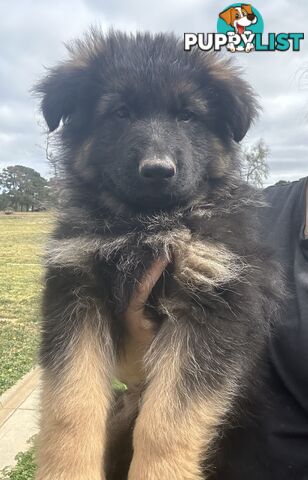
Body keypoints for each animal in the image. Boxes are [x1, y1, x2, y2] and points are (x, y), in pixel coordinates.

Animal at [35, 31, 282, 480]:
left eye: (187, 116)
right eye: (120, 112)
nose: (157, 171)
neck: (145, 226)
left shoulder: (215, 305)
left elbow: (167, 421)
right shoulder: (75, 289)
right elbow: (70, 403)